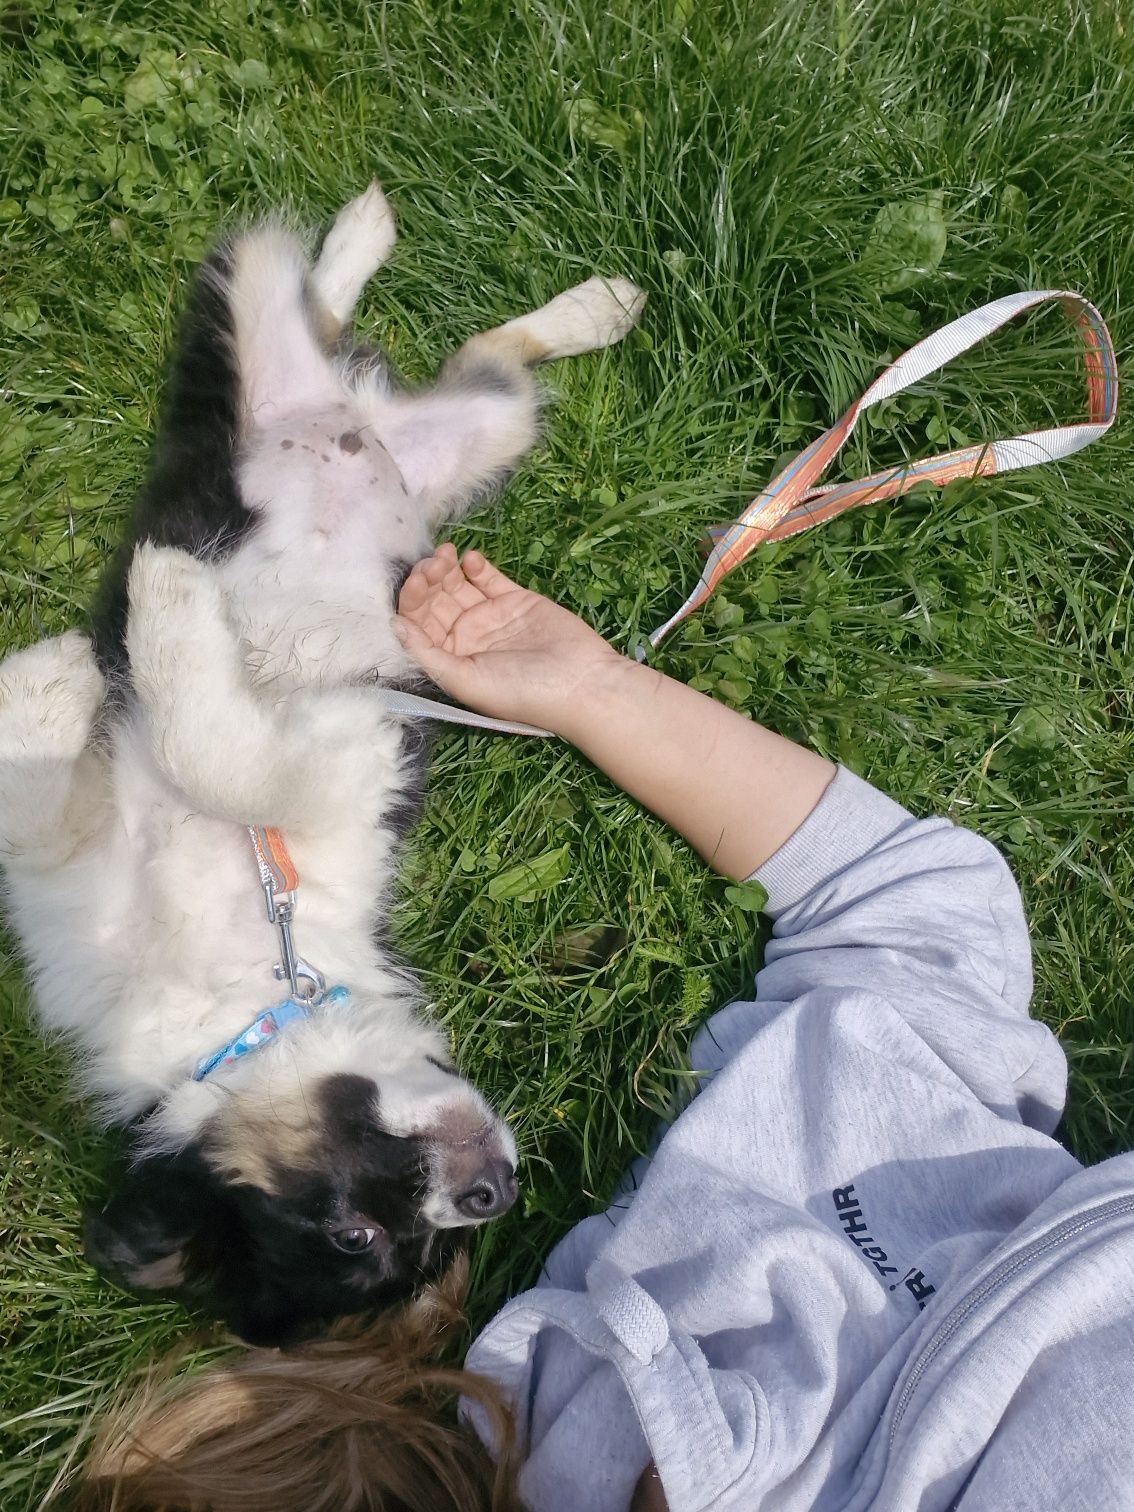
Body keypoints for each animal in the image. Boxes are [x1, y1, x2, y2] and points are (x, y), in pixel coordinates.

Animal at [0, 182, 644, 1342]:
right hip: (374, 385)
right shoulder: (119, 856)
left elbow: (207, 750)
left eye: (394, 1245)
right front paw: (62, 673)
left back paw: (553, 291)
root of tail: (356, 421)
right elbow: (47, 810)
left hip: (404, 395)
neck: (253, 987)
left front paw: (156, 605)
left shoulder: (337, 763)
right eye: (359, 1238)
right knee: (403, 328)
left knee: (395, 325)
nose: (494, 1192)